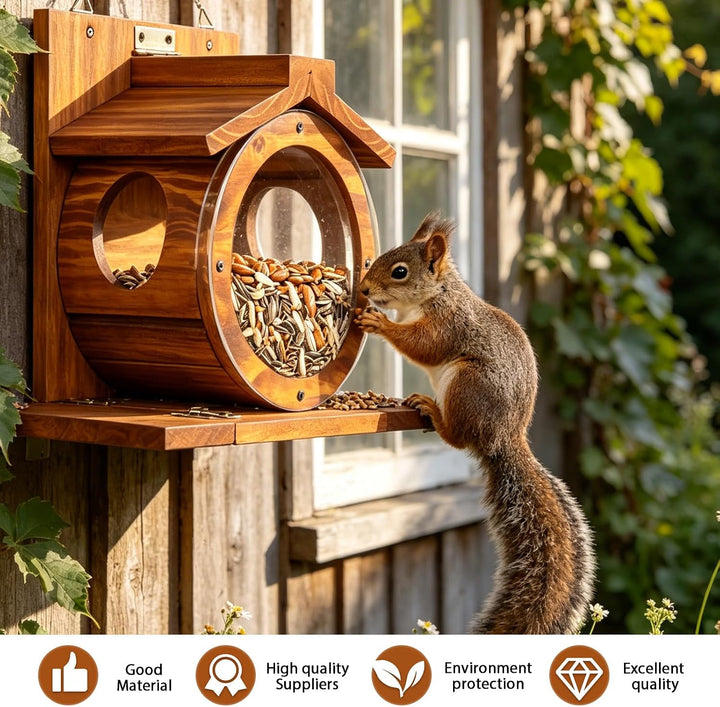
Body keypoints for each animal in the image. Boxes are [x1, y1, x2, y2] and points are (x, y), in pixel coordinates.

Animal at [354, 212, 595, 634]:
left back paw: (431, 409)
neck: (436, 294)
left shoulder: (448, 323)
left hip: (468, 385)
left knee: (456, 437)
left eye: (399, 271)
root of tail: (504, 439)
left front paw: (380, 324)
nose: (365, 289)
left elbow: (423, 345)